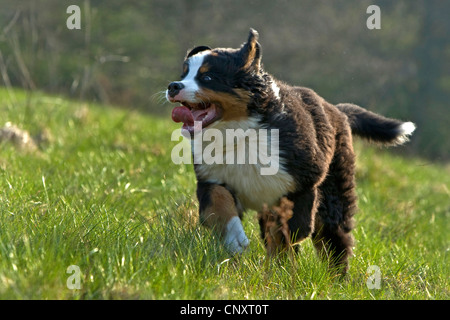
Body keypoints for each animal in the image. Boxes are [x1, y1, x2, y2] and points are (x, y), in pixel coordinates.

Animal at [165, 29, 414, 272]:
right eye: (183, 75)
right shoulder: (211, 178)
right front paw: (235, 239)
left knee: (334, 243)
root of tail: (337, 111)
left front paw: (278, 264)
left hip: (334, 196)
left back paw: (335, 279)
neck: (241, 135)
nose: (173, 86)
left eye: (207, 77)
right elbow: (218, 205)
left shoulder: (301, 185)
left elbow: (288, 233)